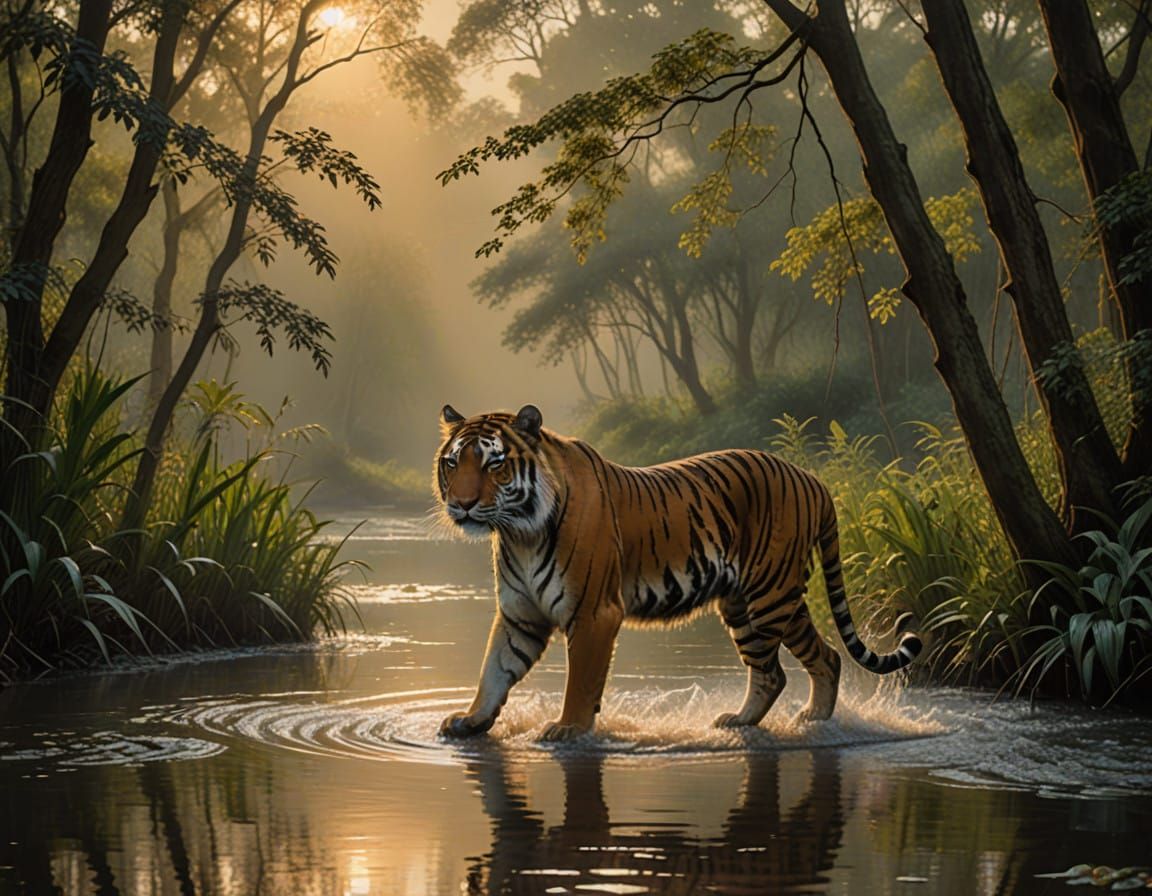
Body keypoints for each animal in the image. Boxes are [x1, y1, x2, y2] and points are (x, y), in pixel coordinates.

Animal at [434, 404, 922, 742]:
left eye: (495, 464)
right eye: (452, 463)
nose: (462, 504)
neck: (519, 532)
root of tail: (814, 479)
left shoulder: (594, 613)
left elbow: (581, 681)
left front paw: (568, 728)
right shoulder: (521, 615)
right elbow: (495, 670)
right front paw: (470, 719)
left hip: (771, 595)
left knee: (803, 663)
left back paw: (810, 725)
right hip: (746, 604)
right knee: (793, 666)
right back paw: (753, 721)